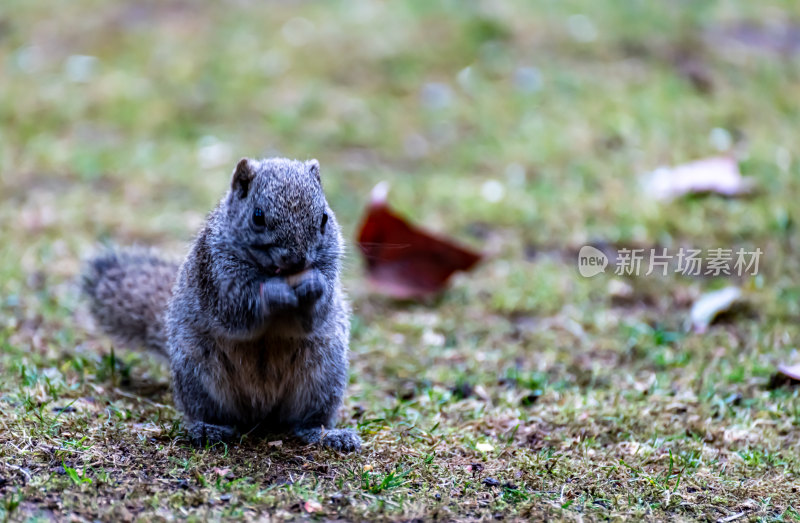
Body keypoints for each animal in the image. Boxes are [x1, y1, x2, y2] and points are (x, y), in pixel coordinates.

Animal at [80, 158, 360, 452]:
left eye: (324, 218)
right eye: (258, 216)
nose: (297, 260)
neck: (270, 271)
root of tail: (262, 414)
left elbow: (314, 316)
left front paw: (313, 285)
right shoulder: (213, 273)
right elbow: (236, 311)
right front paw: (275, 292)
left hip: (324, 376)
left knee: (305, 421)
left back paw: (329, 435)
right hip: (198, 374)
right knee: (211, 413)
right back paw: (208, 429)